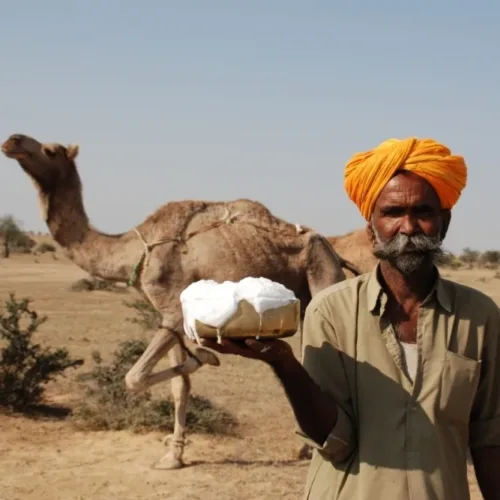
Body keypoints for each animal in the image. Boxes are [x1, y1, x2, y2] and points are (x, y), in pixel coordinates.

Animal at [0, 133, 360, 468]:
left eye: (50, 150)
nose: (12, 140)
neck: (134, 250)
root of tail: (334, 251)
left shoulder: (173, 310)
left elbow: (135, 377)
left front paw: (205, 356)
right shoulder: (165, 314)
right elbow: (178, 385)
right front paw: (173, 455)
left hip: (322, 272)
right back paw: (305, 447)